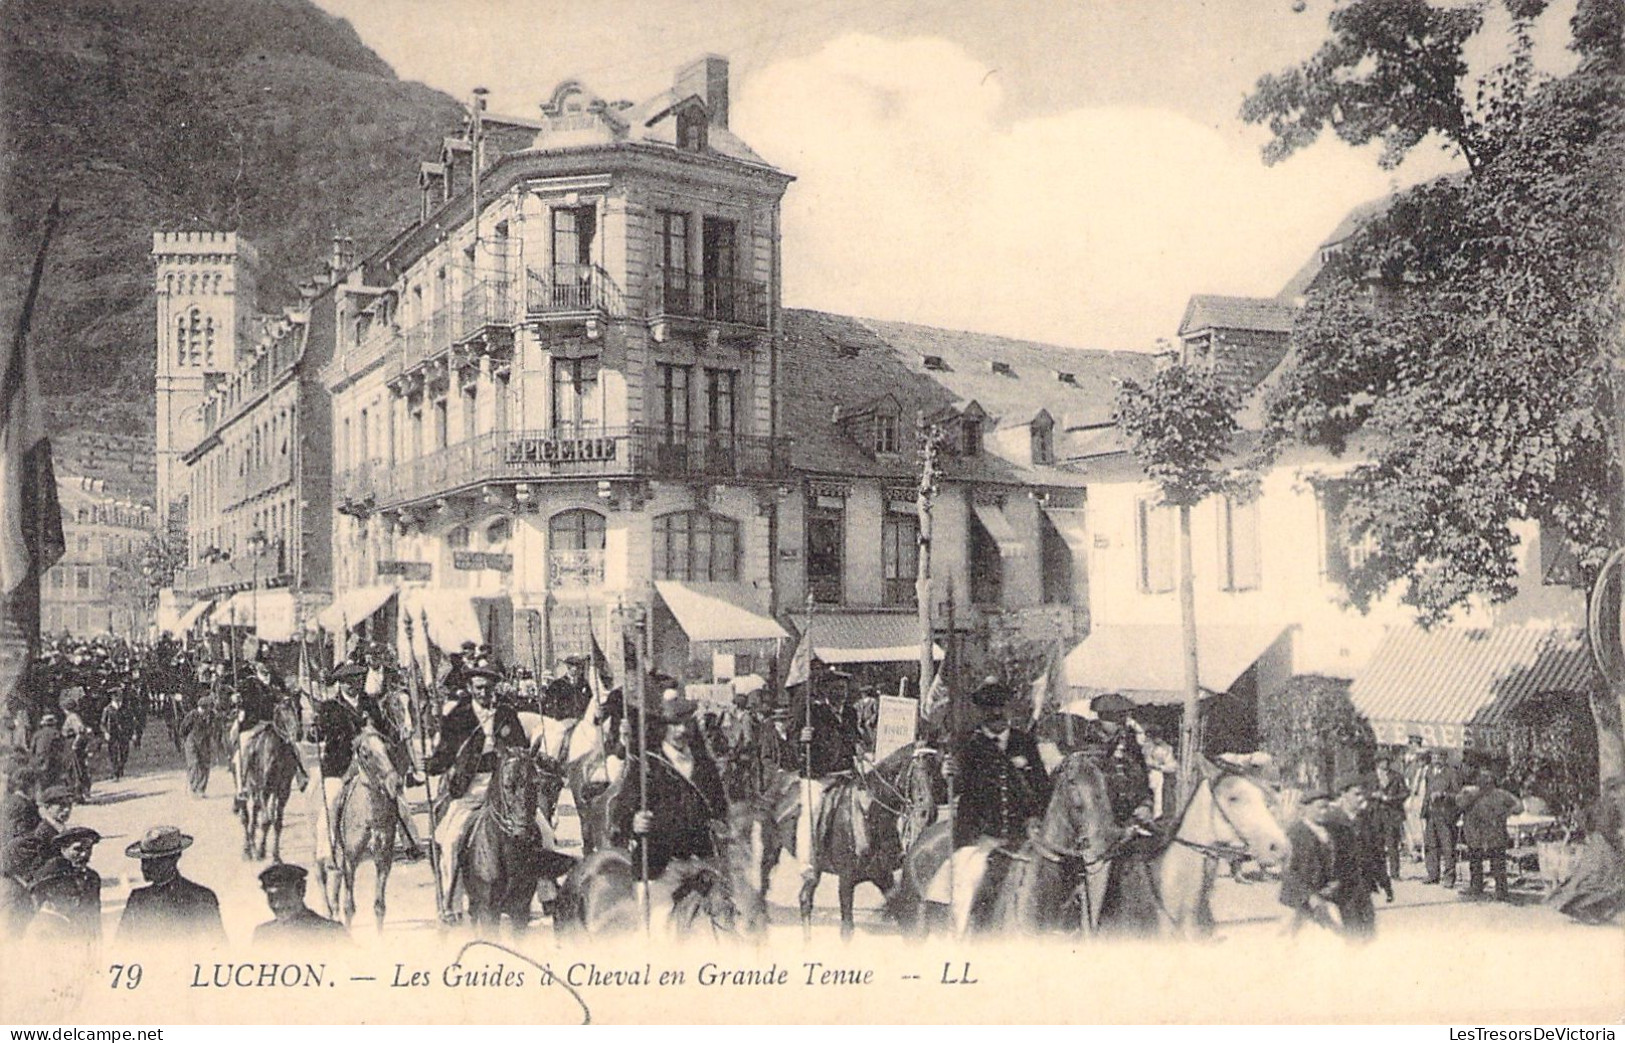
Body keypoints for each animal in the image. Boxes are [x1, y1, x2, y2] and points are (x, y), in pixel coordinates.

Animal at [316, 727, 403, 929]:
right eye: (365, 754)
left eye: (388, 748)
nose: (396, 783)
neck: (371, 816)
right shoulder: (350, 861)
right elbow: (349, 907)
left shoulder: (383, 860)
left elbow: (379, 907)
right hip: (322, 855)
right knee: (322, 881)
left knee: (334, 890)